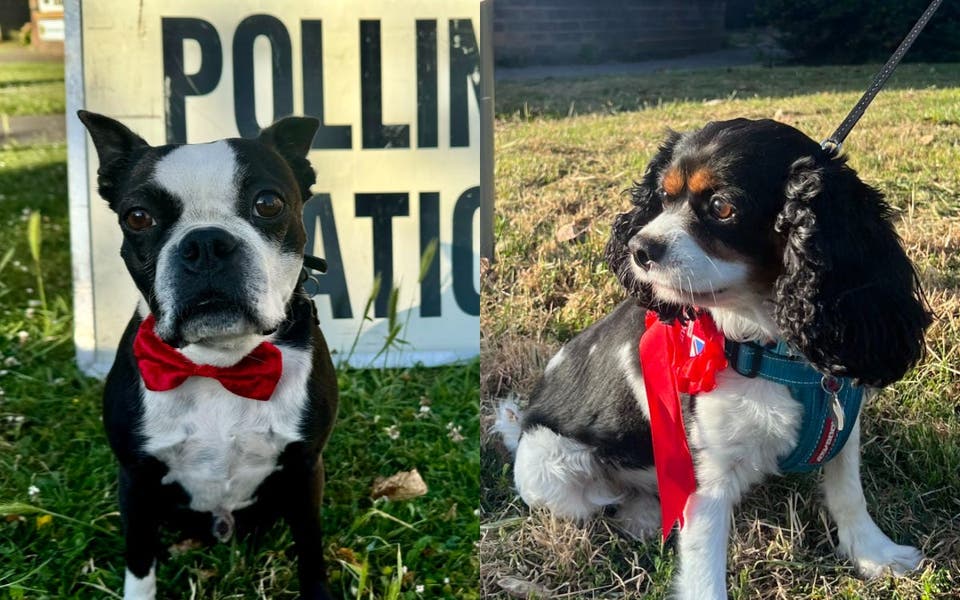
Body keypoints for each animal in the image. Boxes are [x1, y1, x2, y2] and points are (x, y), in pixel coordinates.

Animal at [79, 110, 342, 596]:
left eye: (268, 204)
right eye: (138, 217)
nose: (204, 244)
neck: (220, 364)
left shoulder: (304, 469)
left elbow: (310, 549)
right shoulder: (136, 478)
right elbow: (139, 559)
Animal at [498, 119, 932, 596]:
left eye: (722, 207)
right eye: (663, 197)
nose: (638, 247)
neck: (770, 345)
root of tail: (523, 420)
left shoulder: (843, 421)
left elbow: (848, 491)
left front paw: (875, 554)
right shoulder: (708, 476)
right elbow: (704, 565)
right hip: (548, 468)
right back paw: (646, 515)